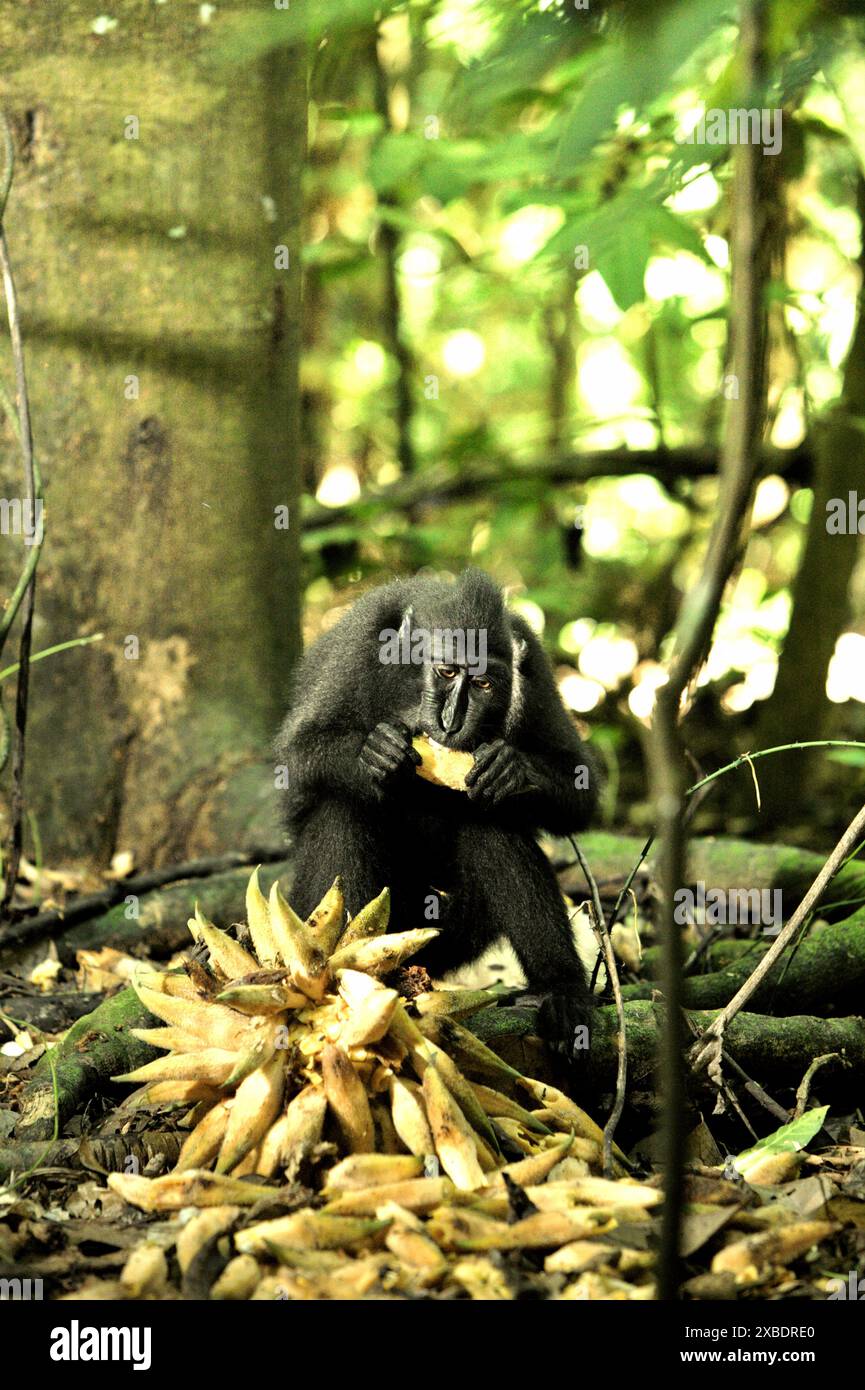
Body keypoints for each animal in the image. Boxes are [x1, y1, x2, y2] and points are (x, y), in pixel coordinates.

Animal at [275, 569, 600, 1058]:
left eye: (483, 684)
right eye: (446, 672)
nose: (451, 721)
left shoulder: (534, 668)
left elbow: (580, 788)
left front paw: (511, 770)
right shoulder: (355, 649)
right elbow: (296, 759)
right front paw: (375, 753)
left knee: (492, 822)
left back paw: (560, 993)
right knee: (342, 805)